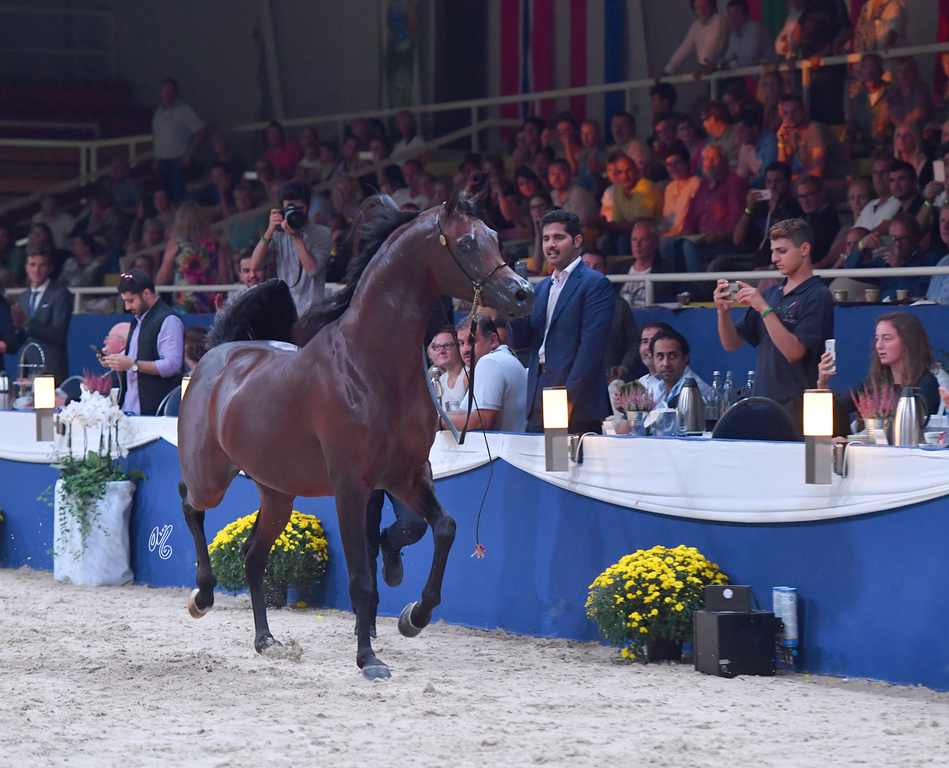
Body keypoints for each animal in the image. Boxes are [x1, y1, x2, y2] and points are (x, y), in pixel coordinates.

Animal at [177, 189, 533, 679]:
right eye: (465, 243)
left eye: (496, 236)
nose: (523, 293)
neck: (370, 368)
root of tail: (218, 355)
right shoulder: (350, 487)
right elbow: (361, 579)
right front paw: (369, 659)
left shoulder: (409, 475)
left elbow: (444, 527)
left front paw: (414, 617)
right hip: (211, 477)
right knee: (190, 504)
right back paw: (203, 595)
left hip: (278, 493)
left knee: (252, 554)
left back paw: (266, 640)